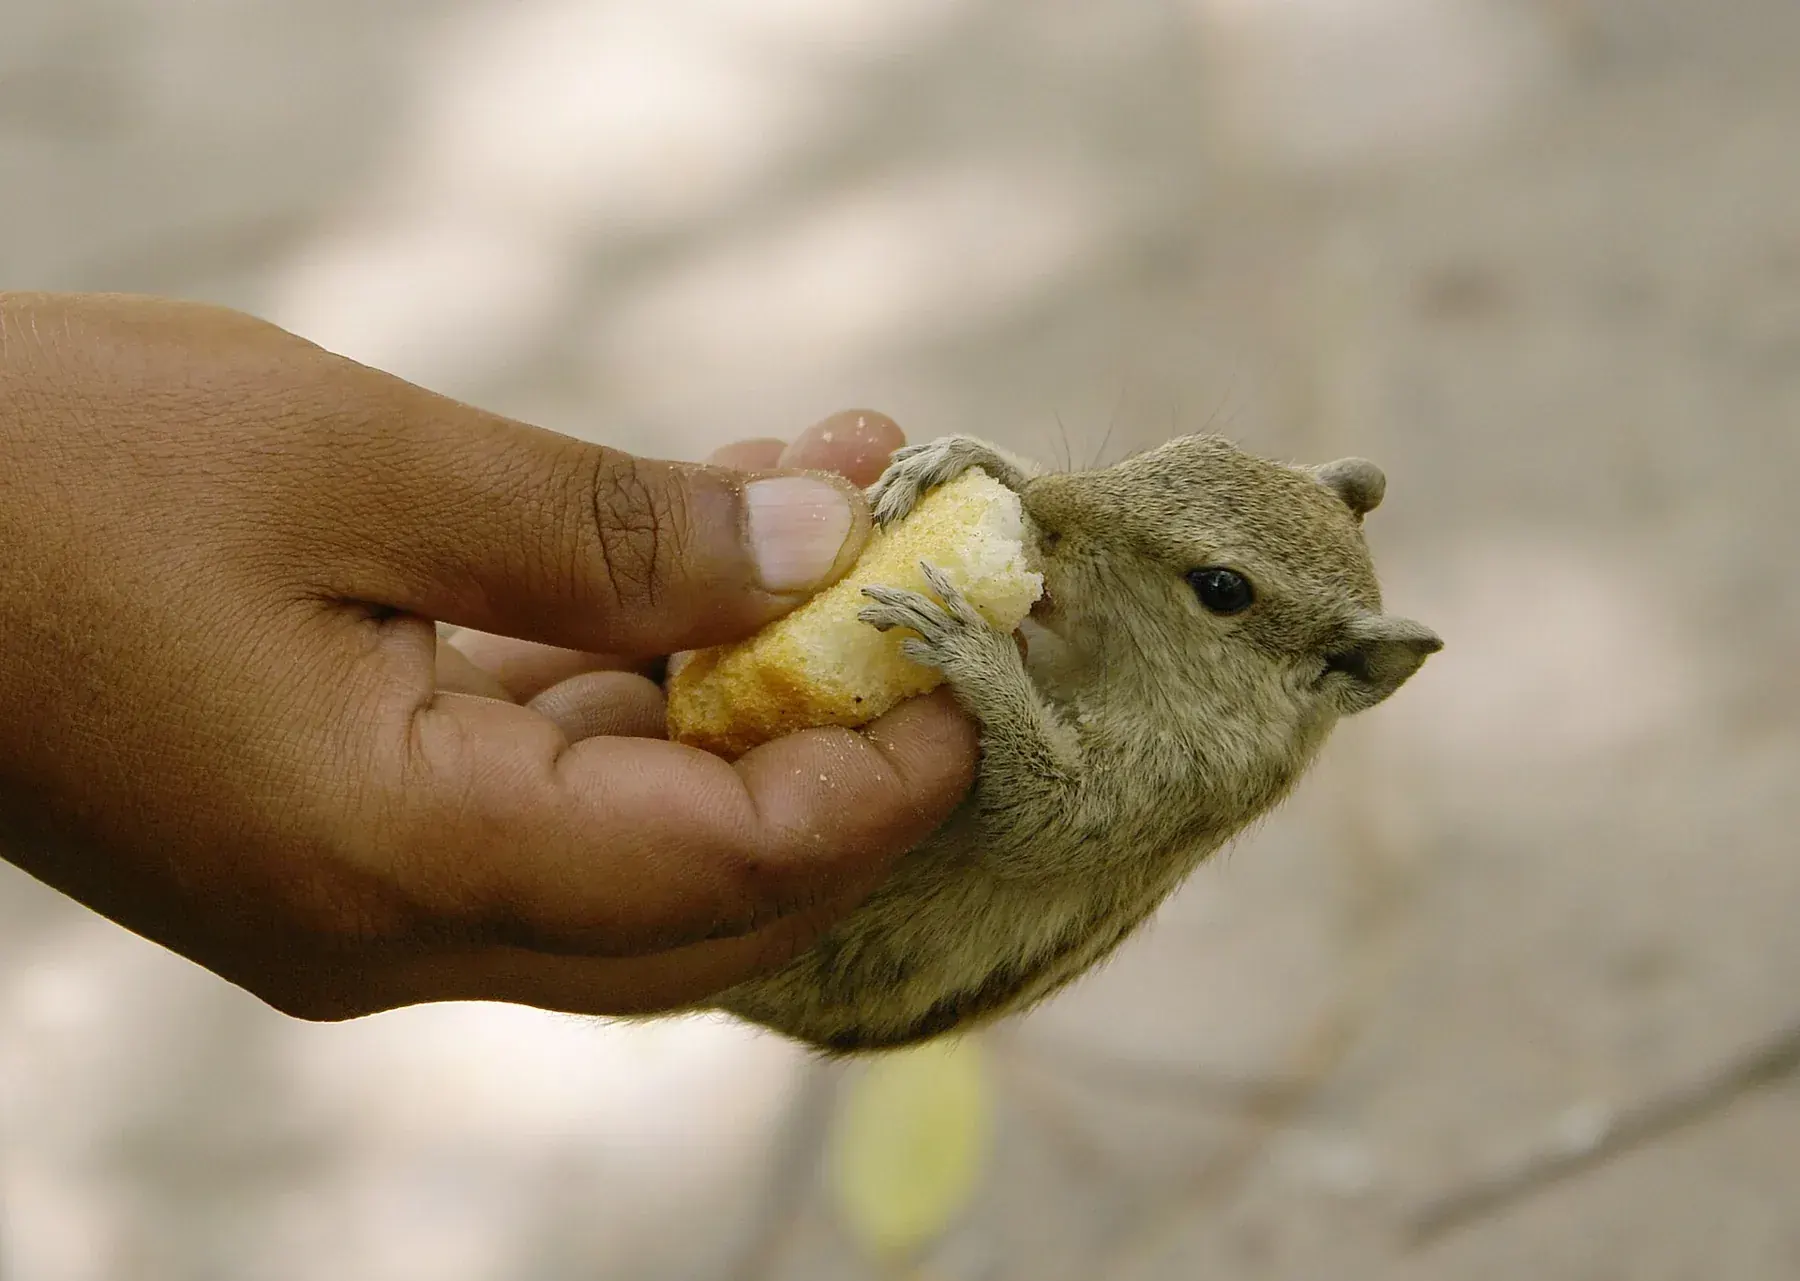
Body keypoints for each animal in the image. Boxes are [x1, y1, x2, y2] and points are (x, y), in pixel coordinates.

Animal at [706, 433, 1443, 1054]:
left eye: (1222, 588)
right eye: (1195, 444)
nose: (1045, 508)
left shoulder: (1170, 784)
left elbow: (1035, 820)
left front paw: (974, 651)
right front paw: (973, 460)